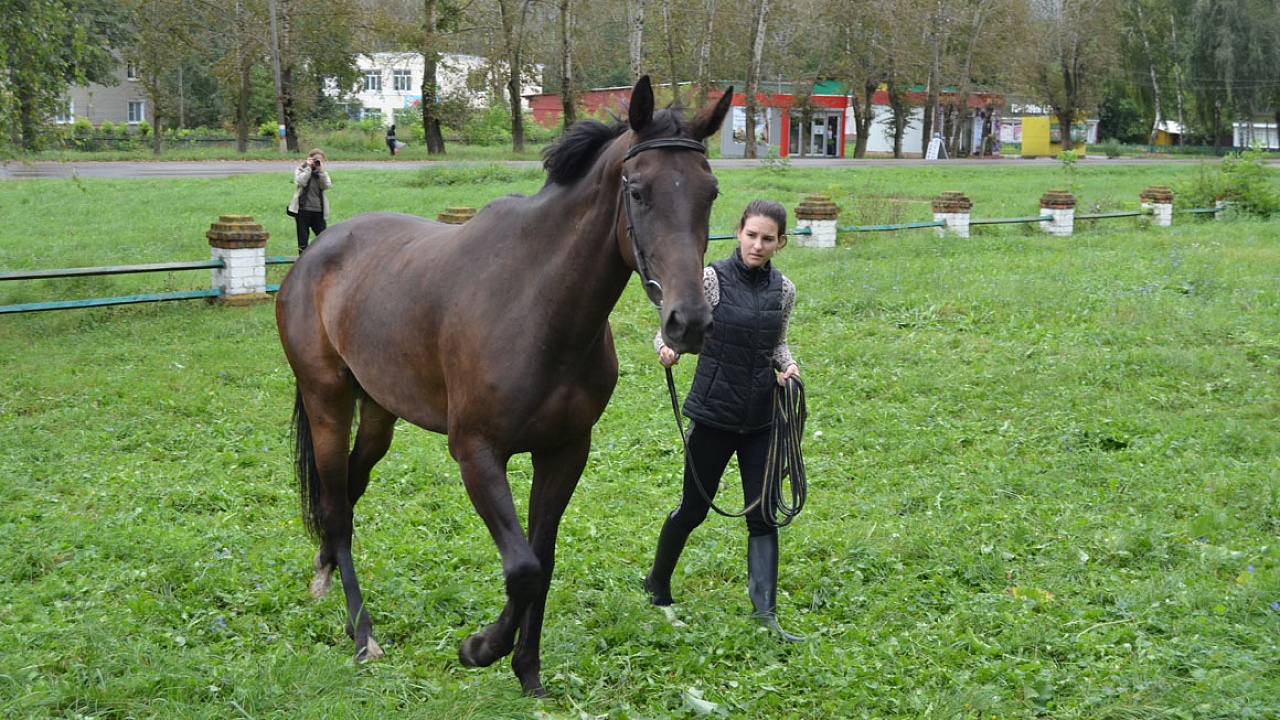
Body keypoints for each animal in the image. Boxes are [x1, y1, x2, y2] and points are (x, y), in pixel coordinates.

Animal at [275, 75, 737, 691]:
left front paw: (528, 673)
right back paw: (362, 633)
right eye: (638, 191)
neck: (537, 305)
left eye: (709, 193)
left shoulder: (564, 452)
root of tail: (313, 255)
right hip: (327, 402)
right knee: (338, 510)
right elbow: (522, 567)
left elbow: (544, 561)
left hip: (377, 415)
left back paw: (325, 576)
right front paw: (480, 648)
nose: (689, 323)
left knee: (347, 489)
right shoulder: (477, 452)